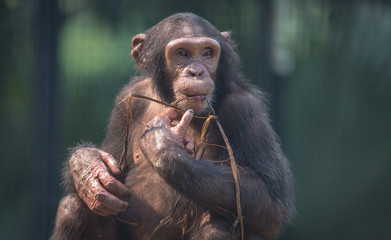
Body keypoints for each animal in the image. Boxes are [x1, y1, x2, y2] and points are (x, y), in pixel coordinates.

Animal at [52, 13, 296, 240]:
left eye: (208, 53)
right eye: (182, 53)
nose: (197, 72)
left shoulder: (246, 109)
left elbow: (271, 200)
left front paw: (162, 143)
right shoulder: (126, 100)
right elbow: (113, 166)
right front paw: (87, 165)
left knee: (218, 225)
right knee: (73, 208)